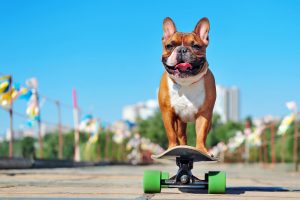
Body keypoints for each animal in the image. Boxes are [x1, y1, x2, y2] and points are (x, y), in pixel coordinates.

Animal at [158, 17, 214, 155]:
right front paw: (172, 147)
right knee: (181, 134)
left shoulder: (205, 114)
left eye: (196, 46)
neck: (186, 83)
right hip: (180, 122)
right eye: (169, 46)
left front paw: (201, 150)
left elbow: (201, 133)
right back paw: (181, 147)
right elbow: (171, 133)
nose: (182, 49)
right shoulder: (167, 113)